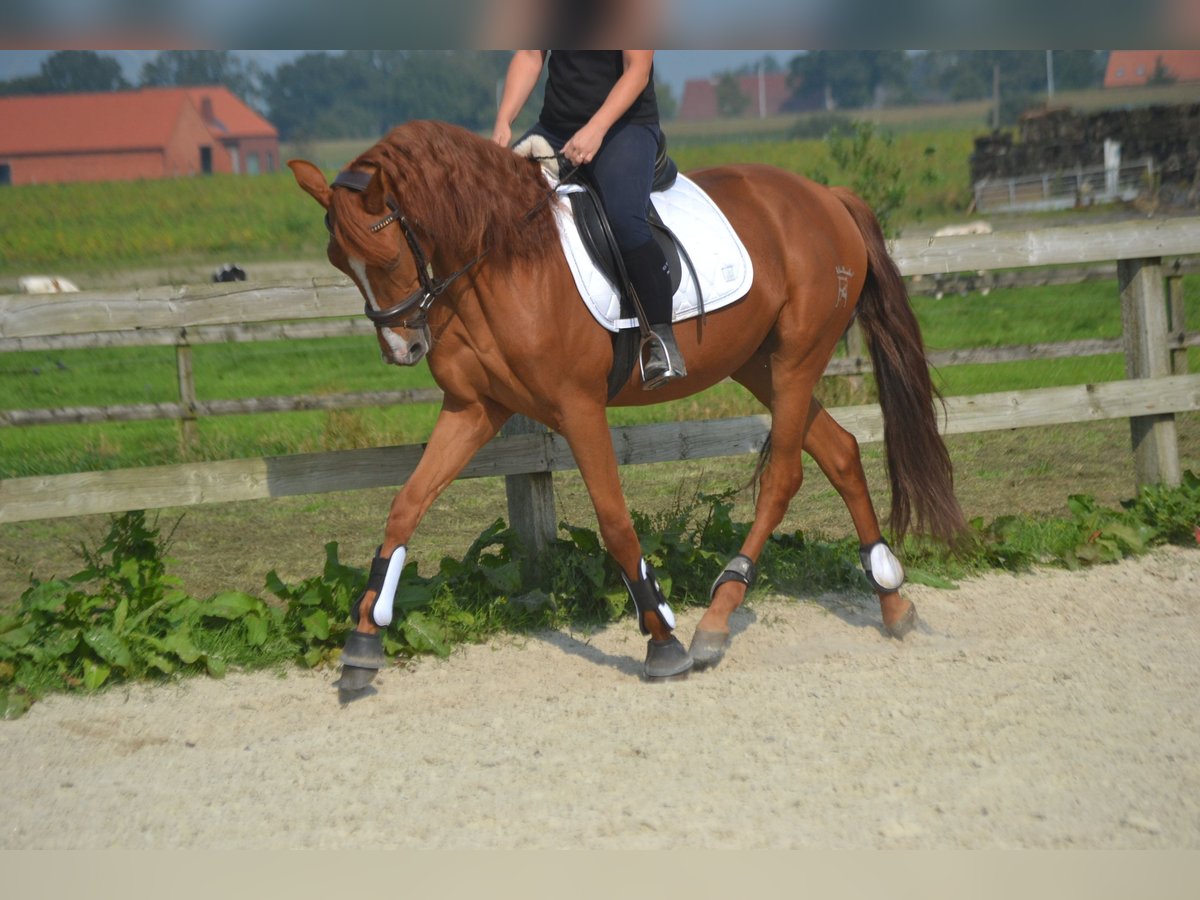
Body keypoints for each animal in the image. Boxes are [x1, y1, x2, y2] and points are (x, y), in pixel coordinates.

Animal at [290, 118, 964, 691]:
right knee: (840, 451)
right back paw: (892, 600)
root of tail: (825, 196)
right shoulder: (474, 410)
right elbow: (404, 508)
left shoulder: (578, 409)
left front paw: (662, 641)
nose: (402, 348)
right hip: (760, 364)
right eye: (339, 263)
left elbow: (615, 522)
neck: (503, 262)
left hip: (798, 357)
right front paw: (362, 641)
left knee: (785, 474)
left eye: (387, 257)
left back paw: (715, 619)